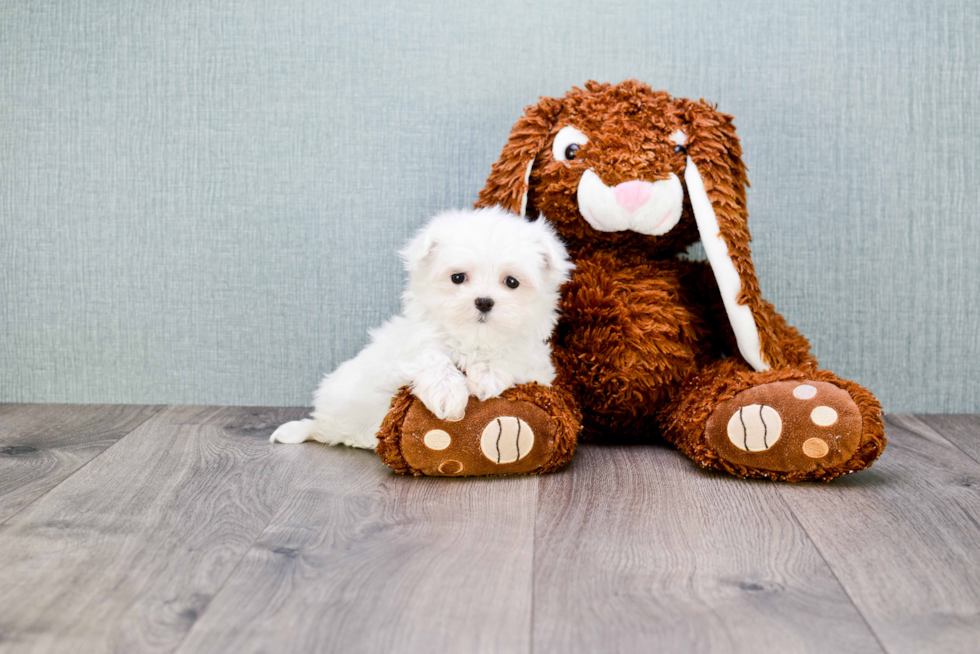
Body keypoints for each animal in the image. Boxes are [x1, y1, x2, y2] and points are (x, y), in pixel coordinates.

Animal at [268, 209, 576, 452]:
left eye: (512, 282)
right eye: (457, 277)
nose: (484, 301)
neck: (472, 341)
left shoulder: (537, 364)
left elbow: (511, 354)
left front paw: (487, 375)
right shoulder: (410, 348)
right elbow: (431, 356)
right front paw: (447, 393)